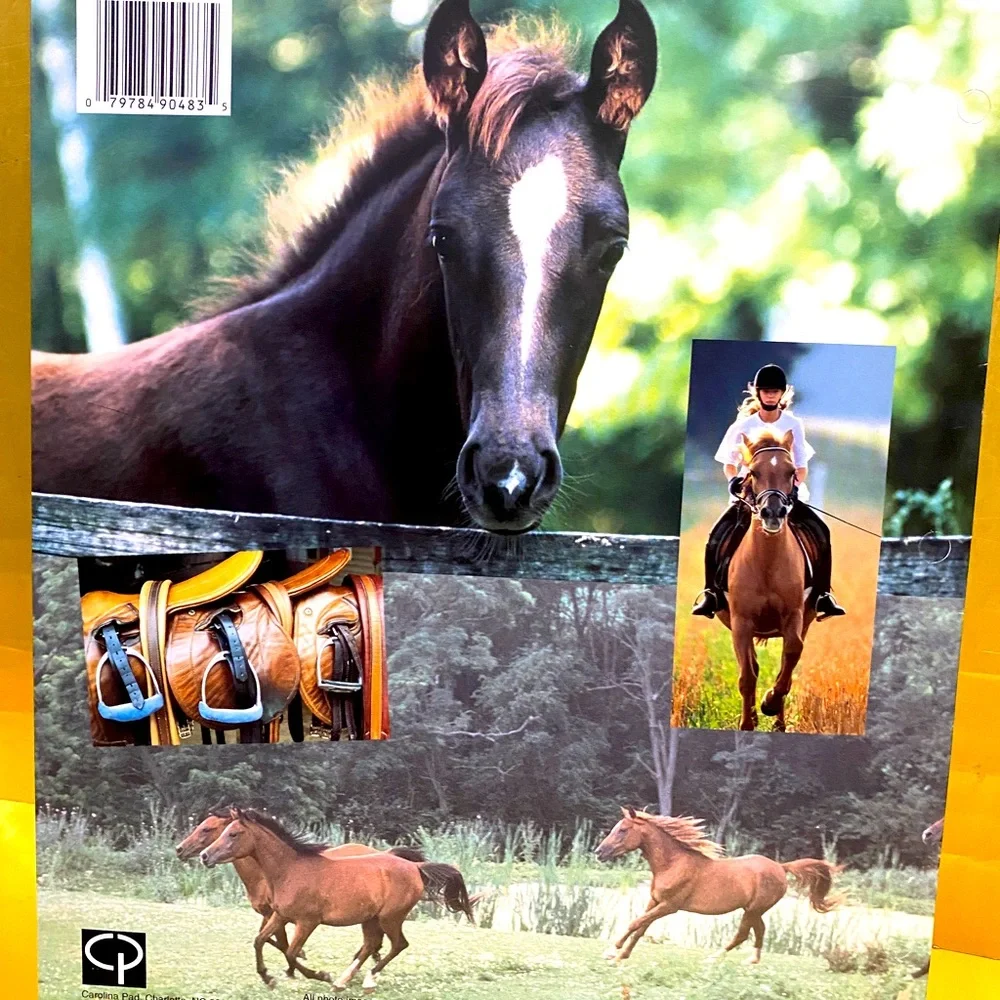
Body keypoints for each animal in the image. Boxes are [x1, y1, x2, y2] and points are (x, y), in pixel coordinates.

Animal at [199, 807, 475, 991]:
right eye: (224, 831)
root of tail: (416, 867)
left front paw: (322, 975)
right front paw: (268, 978)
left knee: (397, 945)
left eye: (233, 834)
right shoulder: (280, 915)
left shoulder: (307, 921)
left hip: (391, 917)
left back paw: (364, 980)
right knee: (371, 945)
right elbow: (260, 941)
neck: (290, 871)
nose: (204, 856)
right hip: (371, 918)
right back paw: (344, 981)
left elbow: (291, 952)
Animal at [595, 807, 842, 964]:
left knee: (742, 934)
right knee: (759, 930)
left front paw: (611, 952)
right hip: (753, 910)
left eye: (623, 830)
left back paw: (713, 958)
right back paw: (752, 961)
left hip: (753, 910)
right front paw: (620, 956)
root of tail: (781, 867)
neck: (672, 864)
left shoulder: (669, 906)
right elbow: (640, 927)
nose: (599, 852)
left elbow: (635, 923)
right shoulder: (654, 901)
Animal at [717, 430, 817, 731]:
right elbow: (747, 676)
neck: (767, 564)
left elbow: (792, 654)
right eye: (753, 472)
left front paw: (770, 703)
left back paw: (778, 724)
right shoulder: (741, 622)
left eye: (791, 472)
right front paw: (747, 724)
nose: (773, 513)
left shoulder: (795, 616)